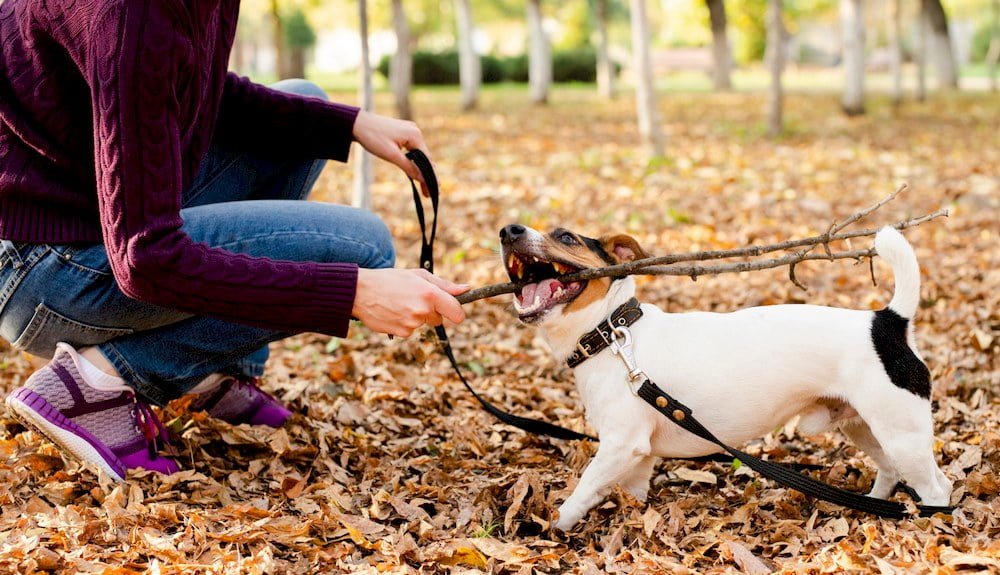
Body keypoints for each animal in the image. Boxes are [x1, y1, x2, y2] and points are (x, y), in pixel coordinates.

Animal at [500, 224, 952, 532]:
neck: (612, 334)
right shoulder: (637, 455)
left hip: (901, 434)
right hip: (865, 428)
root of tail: (888, 321)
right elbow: (633, 493)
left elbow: (582, 491)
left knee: (937, 489)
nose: (509, 230)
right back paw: (874, 509)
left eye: (566, 236)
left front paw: (553, 525)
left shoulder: (620, 446)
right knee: (892, 473)